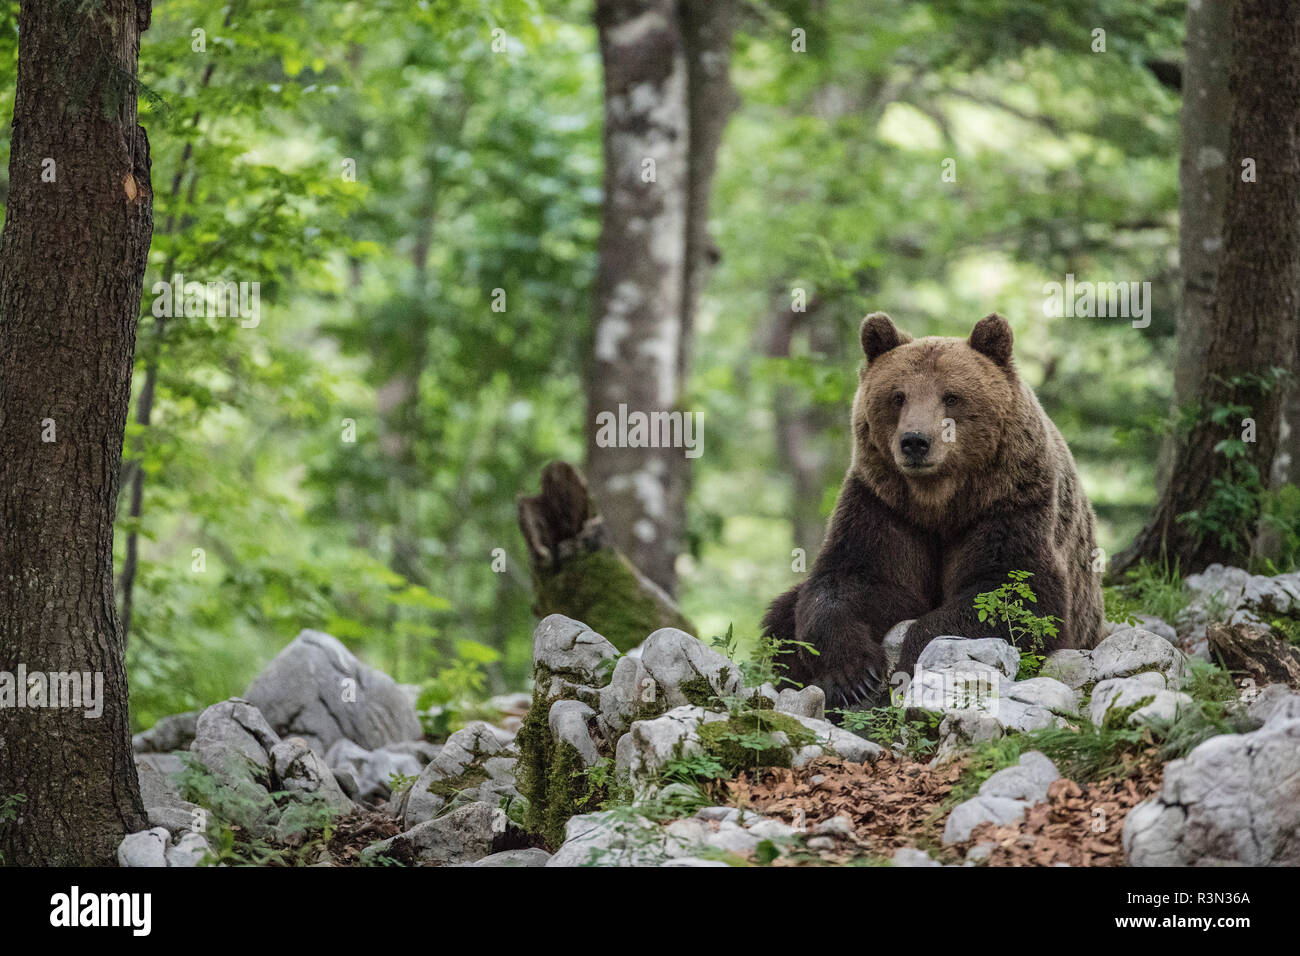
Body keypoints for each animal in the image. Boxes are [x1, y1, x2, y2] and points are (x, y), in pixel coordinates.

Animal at [759, 314, 1107, 712]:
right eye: (898, 396)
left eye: (951, 396)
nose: (915, 441)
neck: (940, 502)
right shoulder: (884, 507)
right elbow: (851, 581)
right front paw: (853, 676)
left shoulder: (1012, 504)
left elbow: (1012, 594)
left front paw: (906, 668)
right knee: (782, 616)